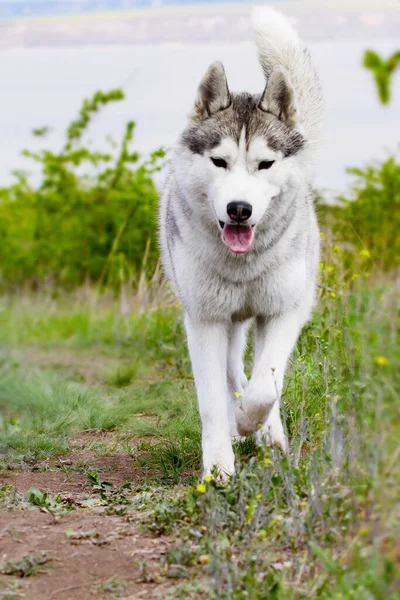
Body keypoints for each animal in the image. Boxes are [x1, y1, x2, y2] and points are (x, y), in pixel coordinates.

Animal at [158, 5, 324, 478]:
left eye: (265, 164)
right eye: (220, 161)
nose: (239, 209)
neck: (244, 264)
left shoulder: (286, 311)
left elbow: (267, 384)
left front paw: (256, 423)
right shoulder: (204, 322)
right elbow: (214, 400)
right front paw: (218, 467)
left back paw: (270, 435)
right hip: (227, 324)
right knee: (233, 373)